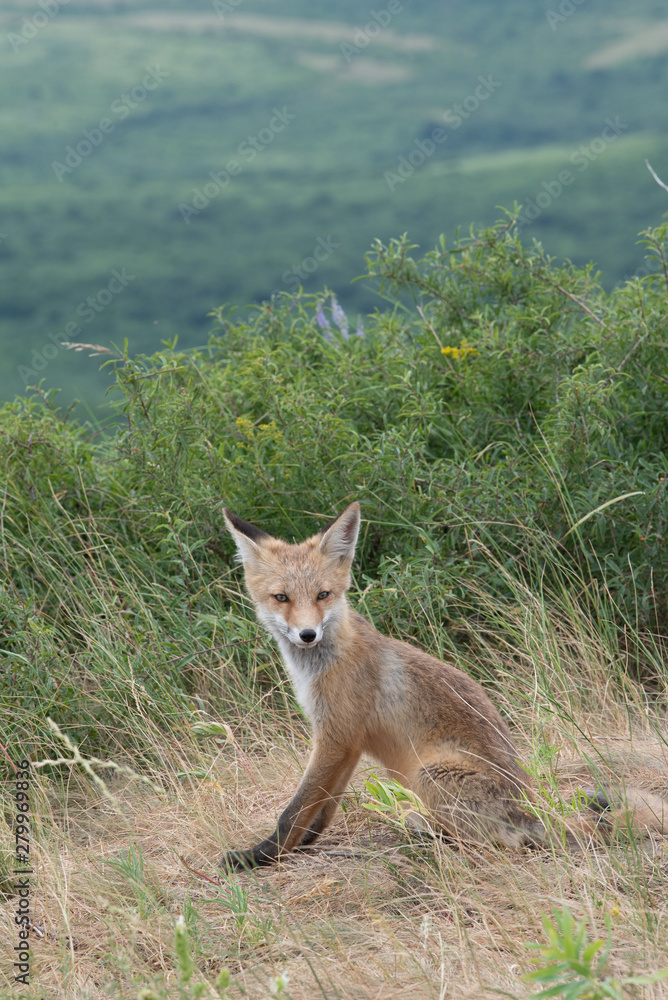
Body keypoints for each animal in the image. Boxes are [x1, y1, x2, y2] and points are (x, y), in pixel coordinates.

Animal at [221, 501, 667, 870]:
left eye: (322, 594)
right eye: (281, 597)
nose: (307, 634)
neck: (320, 665)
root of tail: (537, 809)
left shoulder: (335, 737)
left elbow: (292, 812)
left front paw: (259, 857)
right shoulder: (347, 743)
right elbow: (321, 809)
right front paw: (303, 845)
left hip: (431, 773)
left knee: (499, 843)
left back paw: (430, 836)